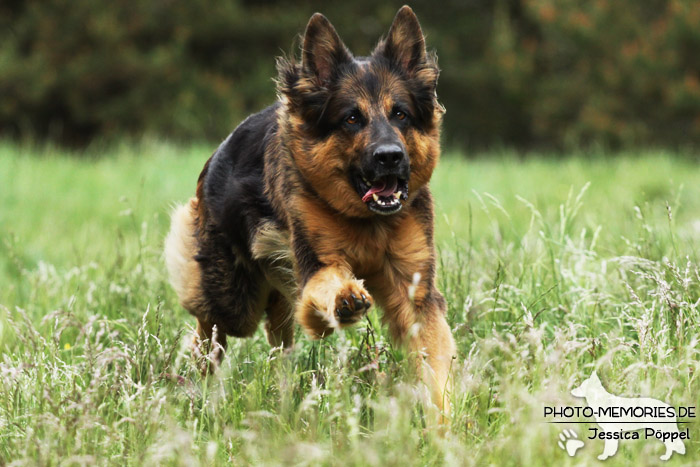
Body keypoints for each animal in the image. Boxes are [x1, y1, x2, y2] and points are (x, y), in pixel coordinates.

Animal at [166, 6, 456, 416]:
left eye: (400, 114)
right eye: (351, 118)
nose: (390, 157)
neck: (366, 220)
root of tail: (217, 154)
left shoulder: (414, 291)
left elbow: (436, 365)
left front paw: (446, 425)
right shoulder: (315, 266)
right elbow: (325, 287)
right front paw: (345, 300)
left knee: (277, 341)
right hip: (234, 301)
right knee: (209, 329)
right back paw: (198, 384)